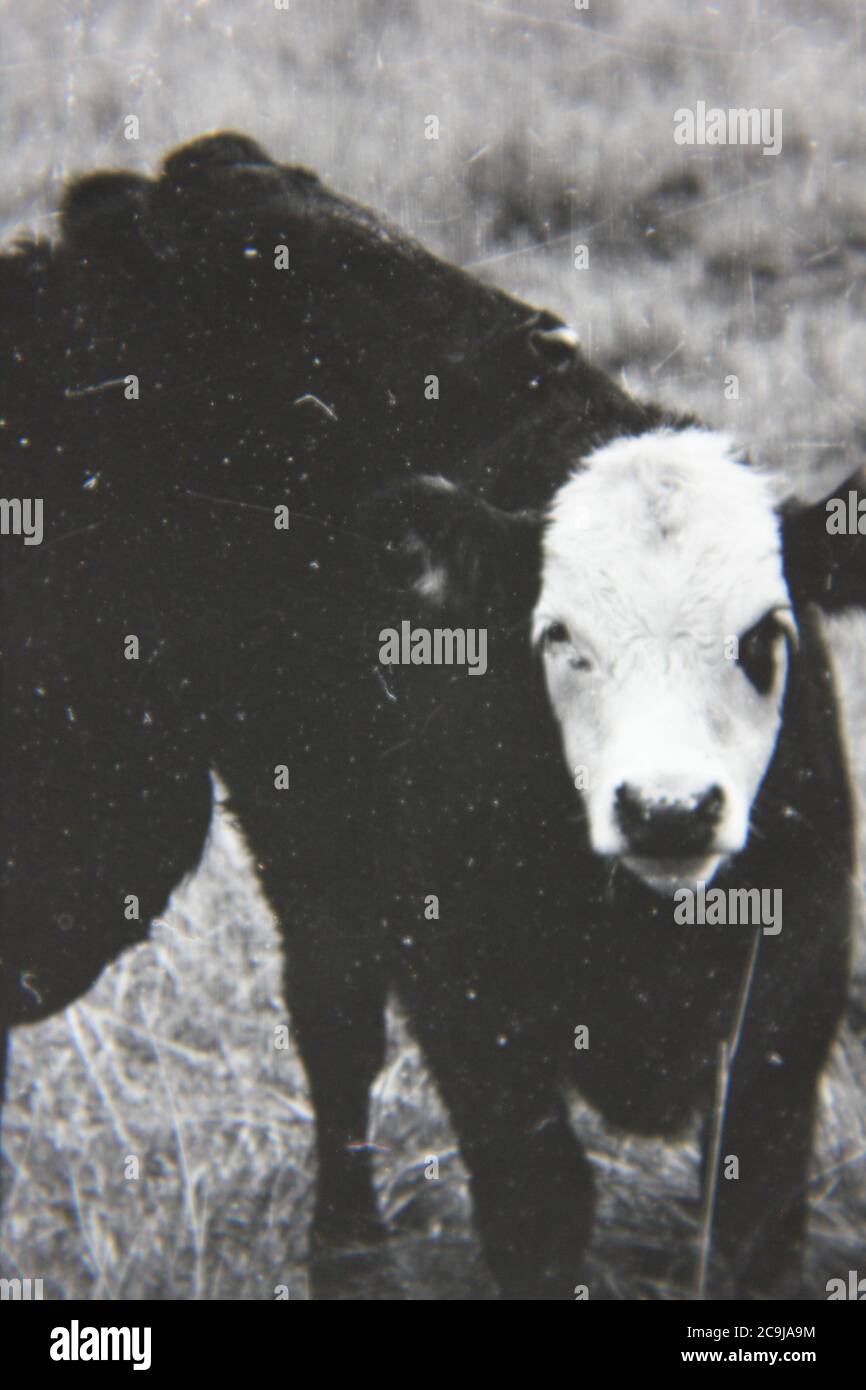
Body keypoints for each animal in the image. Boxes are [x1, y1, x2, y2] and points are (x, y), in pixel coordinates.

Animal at [0, 132, 861, 1301]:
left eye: (763, 637)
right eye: (558, 639)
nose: (669, 810)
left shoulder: (787, 1020)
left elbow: (748, 1227)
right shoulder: (474, 1017)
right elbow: (538, 1209)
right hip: (303, 840)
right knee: (333, 1026)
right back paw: (346, 1255)